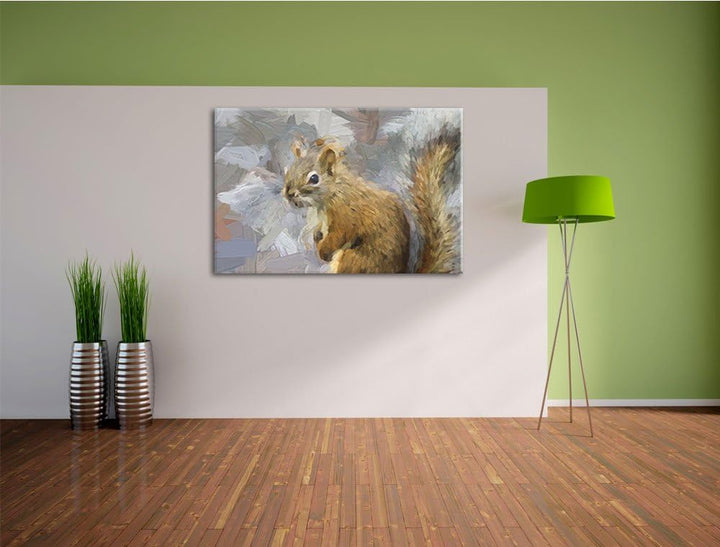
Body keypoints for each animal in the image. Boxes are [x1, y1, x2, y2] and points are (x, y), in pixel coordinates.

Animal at [283, 128, 460, 274]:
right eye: (289, 170)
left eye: (314, 178)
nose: (289, 194)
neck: (334, 193)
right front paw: (317, 237)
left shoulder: (346, 215)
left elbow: (340, 234)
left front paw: (323, 252)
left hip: (353, 260)